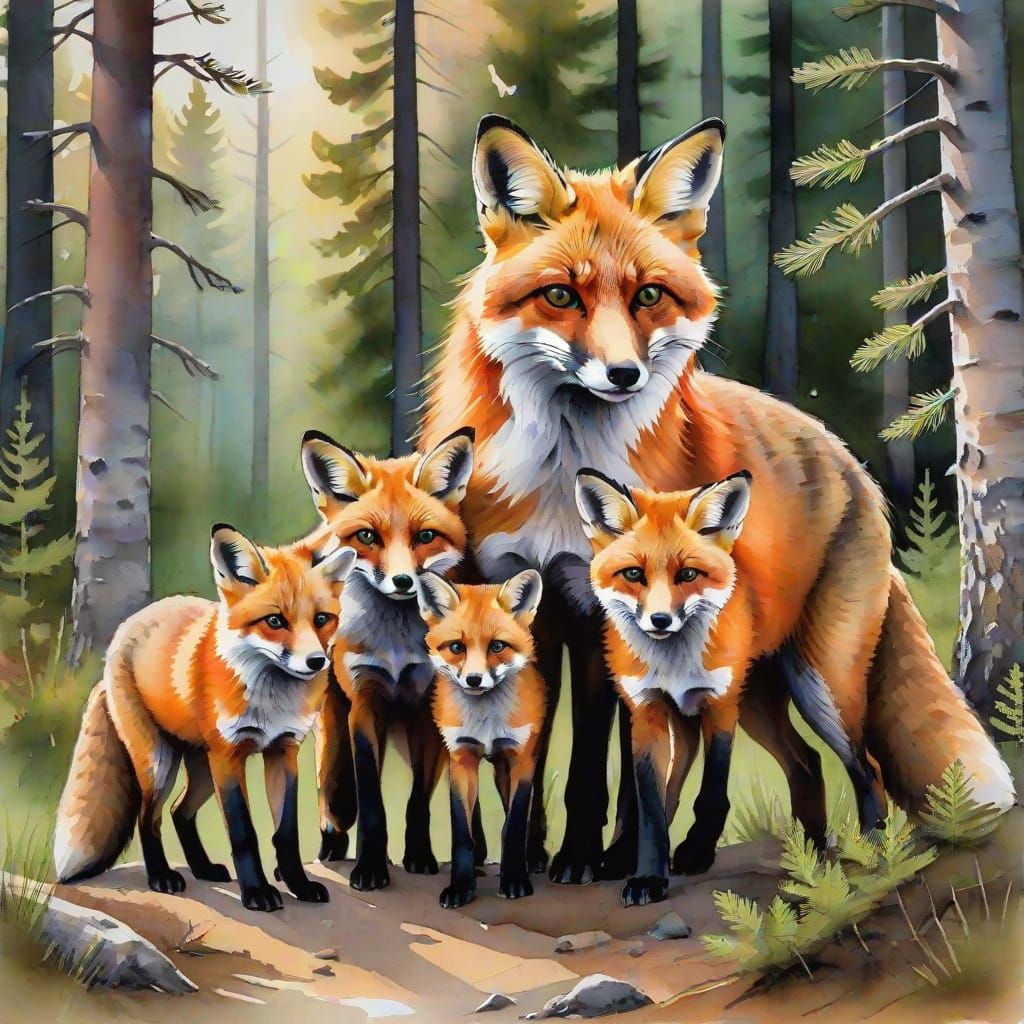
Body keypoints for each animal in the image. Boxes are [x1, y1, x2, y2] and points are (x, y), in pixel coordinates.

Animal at [54, 525, 356, 913]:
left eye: (321, 619)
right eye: (275, 621)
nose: (317, 662)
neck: (272, 702)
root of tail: (125, 629)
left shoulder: (282, 752)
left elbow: (286, 833)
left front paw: (298, 885)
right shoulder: (228, 755)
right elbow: (244, 833)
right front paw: (256, 892)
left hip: (201, 770)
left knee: (179, 812)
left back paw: (202, 868)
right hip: (160, 763)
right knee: (148, 818)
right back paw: (161, 877)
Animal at [299, 427, 477, 891]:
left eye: (425, 537)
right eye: (367, 537)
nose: (402, 581)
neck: (397, 646)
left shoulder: (428, 710)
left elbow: (417, 801)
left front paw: (420, 856)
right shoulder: (365, 702)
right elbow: (373, 804)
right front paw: (370, 868)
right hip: (332, 727)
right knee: (335, 792)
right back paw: (333, 843)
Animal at [417, 570, 546, 909]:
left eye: (497, 646)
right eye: (457, 647)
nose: (474, 680)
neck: (486, 721)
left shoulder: (520, 759)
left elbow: (513, 826)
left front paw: (515, 879)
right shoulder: (461, 756)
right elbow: (461, 831)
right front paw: (461, 886)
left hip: (504, 770)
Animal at [421, 113, 1015, 882]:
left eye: (648, 296)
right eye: (560, 296)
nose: (624, 374)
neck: (561, 473)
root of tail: (853, 467)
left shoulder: (595, 618)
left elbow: (597, 767)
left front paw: (584, 858)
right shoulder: (530, 609)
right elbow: (540, 748)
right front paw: (530, 856)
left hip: (820, 681)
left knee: (867, 771)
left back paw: (861, 860)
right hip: (755, 685)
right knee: (799, 767)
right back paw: (792, 856)